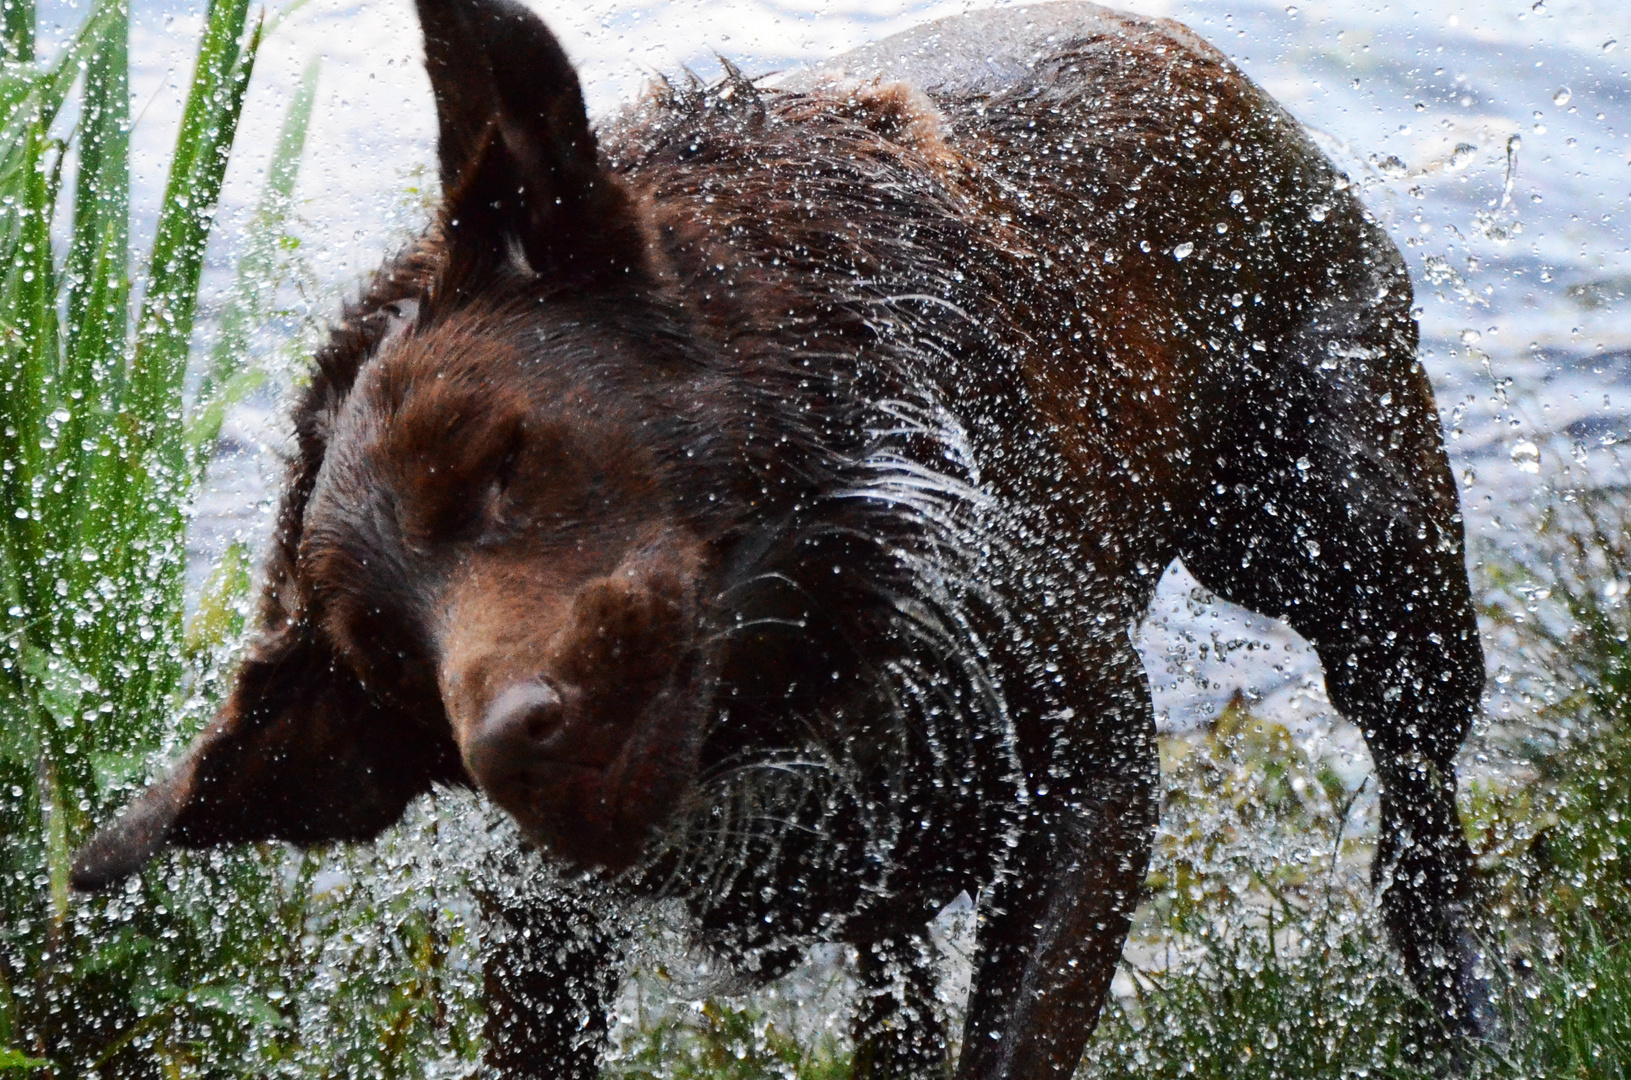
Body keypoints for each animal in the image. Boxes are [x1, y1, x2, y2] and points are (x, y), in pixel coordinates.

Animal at [82, 4, 1493, 1076]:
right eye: (385, 666)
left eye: (497, 460)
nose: (513, 742)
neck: (795, 667)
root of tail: (1184, 48)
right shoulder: (545, 917)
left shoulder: (1087, 770)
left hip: (1354, 550)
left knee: (1417, 790)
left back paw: (1456, 1003)